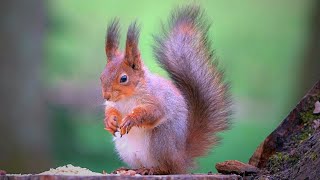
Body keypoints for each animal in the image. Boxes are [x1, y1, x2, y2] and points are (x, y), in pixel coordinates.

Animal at [99, 5, 230, 174]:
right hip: (126, 149)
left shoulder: (157, 99)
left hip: (161, 141)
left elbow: (153, 112)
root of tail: (181, 158)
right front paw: (110, 121)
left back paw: (153, 170)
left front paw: (130, 119)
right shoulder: (114, 104)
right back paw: (130, 169)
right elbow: (111, 110)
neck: (127, 97)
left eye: (123, 78)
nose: (106, 96)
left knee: (168, 168)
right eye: (101, 76)